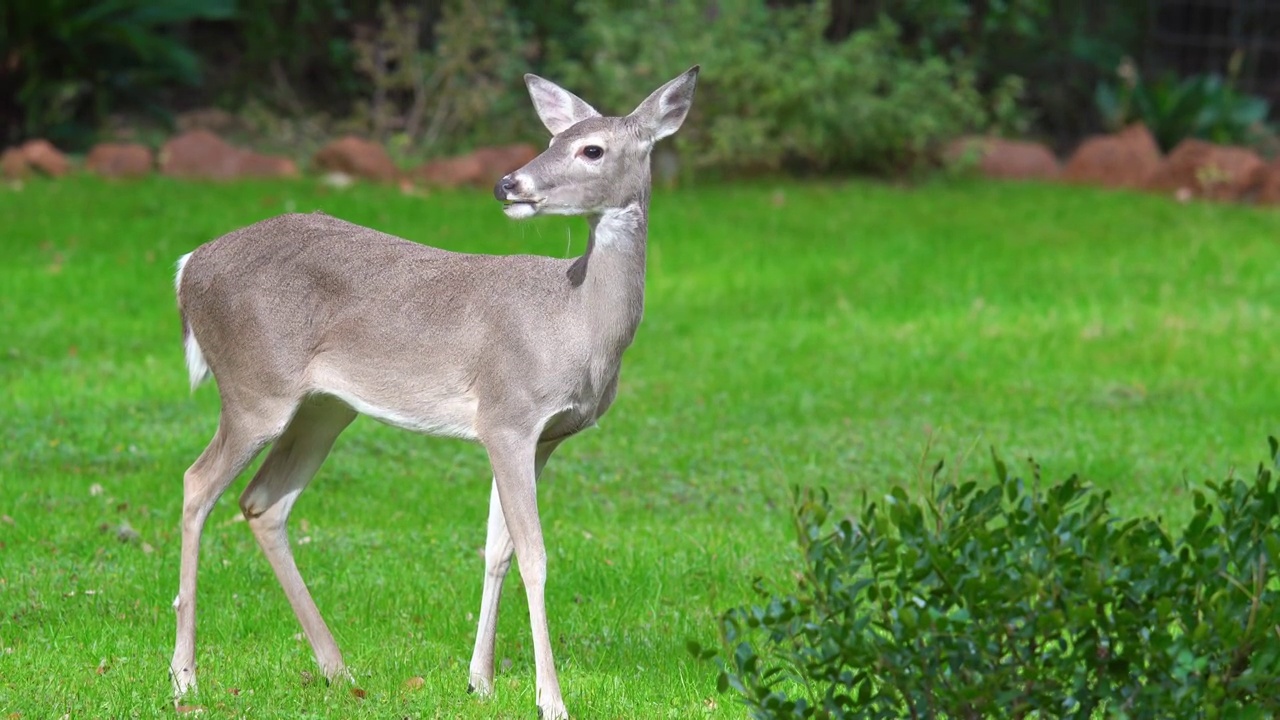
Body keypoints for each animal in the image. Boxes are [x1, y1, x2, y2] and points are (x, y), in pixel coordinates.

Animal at [167, 64, 701, 712]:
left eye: (590, 148)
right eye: (552, 138)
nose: (507, 184)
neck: (576, 322)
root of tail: (187, 268)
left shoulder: (543, 435)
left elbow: (498, 549)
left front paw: (481, 681)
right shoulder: (507, 415)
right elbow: (534, 555)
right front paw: (550, 700)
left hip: (324, 407)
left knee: (263, 502)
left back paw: (336, 668)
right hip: (254, 387)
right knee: (198, 484)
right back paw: (185, 676)